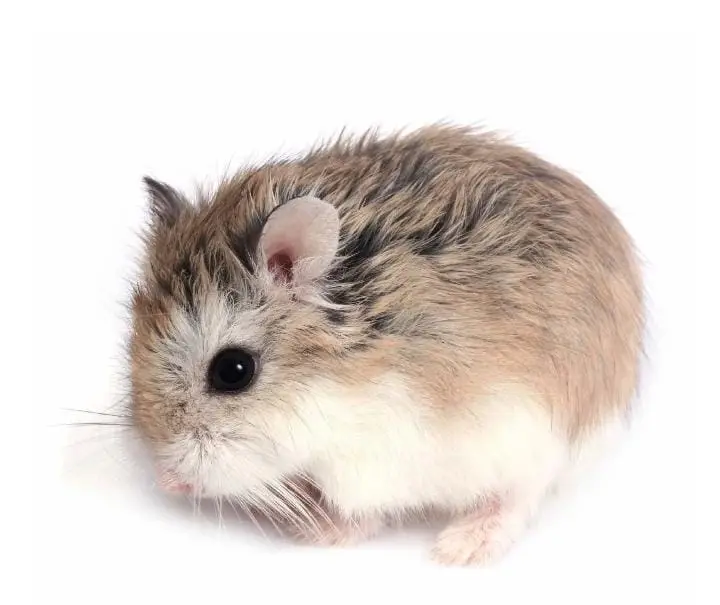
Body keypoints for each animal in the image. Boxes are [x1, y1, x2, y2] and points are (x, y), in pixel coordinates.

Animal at [129, 124, 644, 565]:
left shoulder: (377, 460)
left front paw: (313, 532)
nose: (167, 482)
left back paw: (461, 547)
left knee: (521, 495)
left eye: (233, 371)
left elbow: (365, 511)